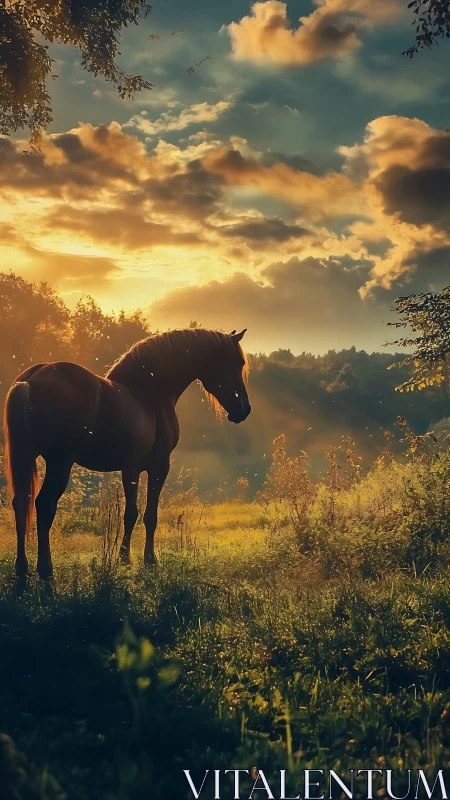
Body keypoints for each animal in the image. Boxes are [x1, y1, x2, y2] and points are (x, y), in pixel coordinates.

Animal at [3, 327, 250, 580]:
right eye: (238, 363)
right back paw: (46, 569)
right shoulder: (157, 467)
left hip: (27, 457)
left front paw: (126, 558)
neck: (148, 393)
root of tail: (29, 380)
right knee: (44, 504)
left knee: (21, 502)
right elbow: (145, 515)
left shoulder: (131, 469)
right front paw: (144, 560)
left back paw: (22, 568)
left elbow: (131, 514)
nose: (244, 409)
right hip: (59, 463)